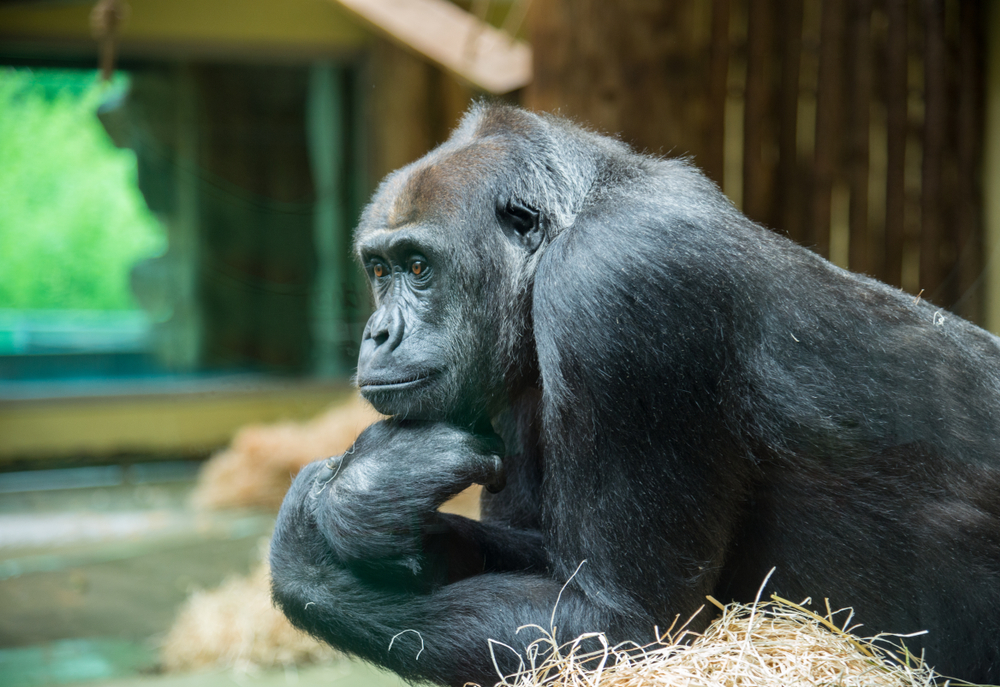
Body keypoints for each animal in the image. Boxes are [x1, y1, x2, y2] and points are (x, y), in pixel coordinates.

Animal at [270, 105, 1000, 684]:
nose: (378, 333)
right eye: (378, 269)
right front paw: (373, 508)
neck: (572, 217)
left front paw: (318, 537)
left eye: (419, 266)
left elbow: (621, 621)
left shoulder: (616, 288)